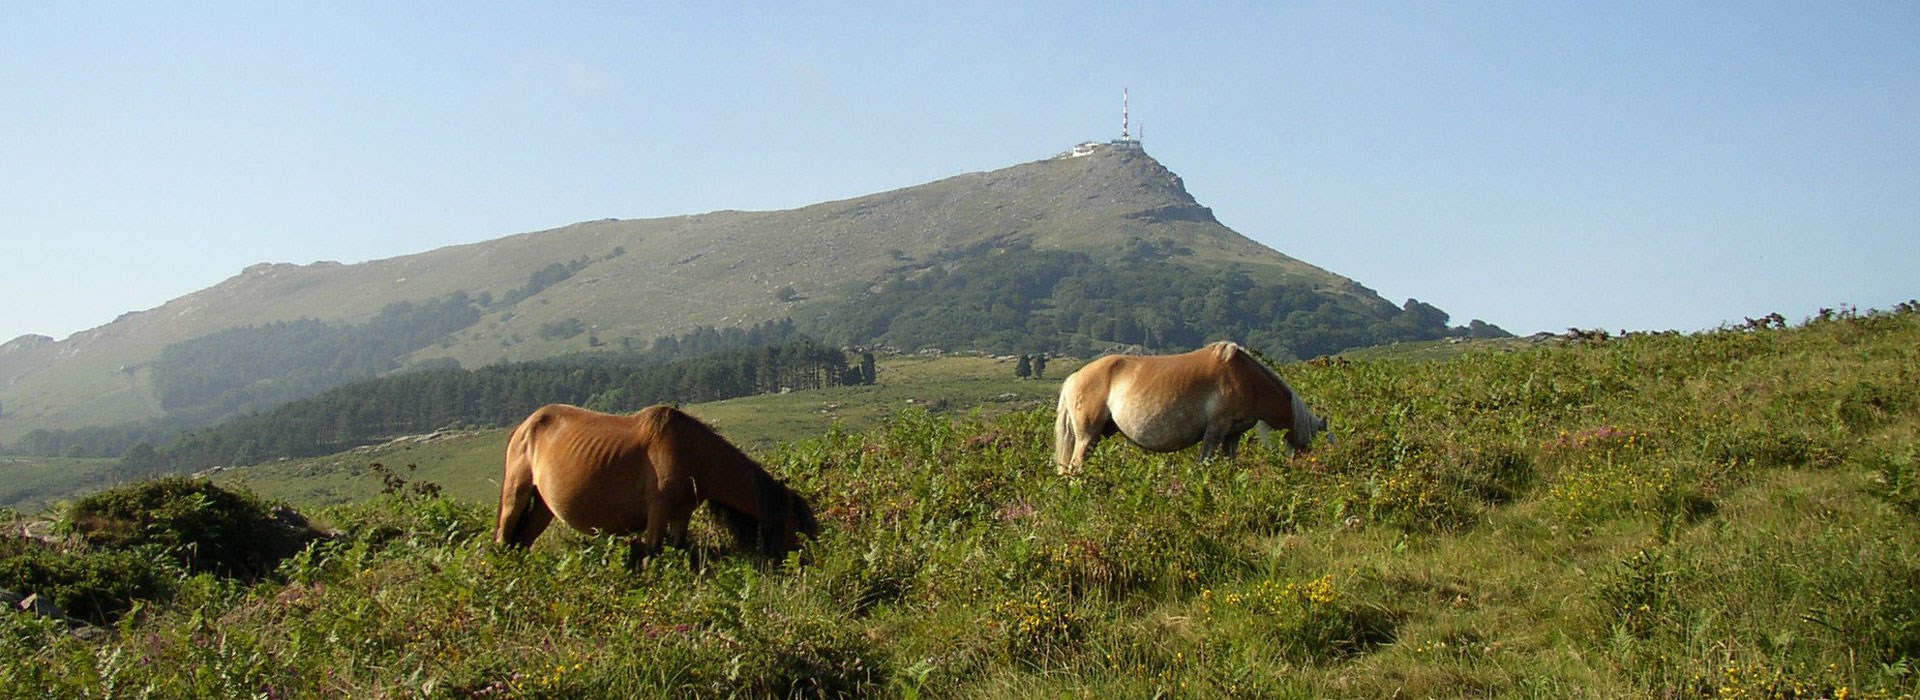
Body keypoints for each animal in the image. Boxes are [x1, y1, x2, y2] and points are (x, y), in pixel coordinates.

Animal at [495, 400, 817, 560]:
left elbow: (678, 549)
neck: (693, 454)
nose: (801, 560)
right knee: (503, 538)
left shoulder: (682, 513)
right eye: (793, 522)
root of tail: (524, 426)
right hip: (516, 494)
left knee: (521, 542)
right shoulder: (658, 511)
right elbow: (653, 554)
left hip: (543, 507)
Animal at [1059, 339, 1328, 473]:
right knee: (1074, 469)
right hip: (1087, 436)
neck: (1245, 378)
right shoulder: (1216, 429)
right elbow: (1204, 465)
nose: (1311, 471)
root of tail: (1073, 377)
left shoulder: (1233, 435)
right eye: (1309, 442)